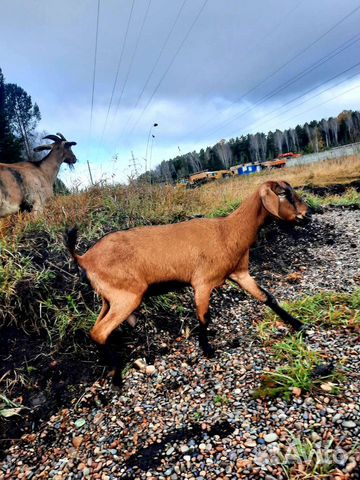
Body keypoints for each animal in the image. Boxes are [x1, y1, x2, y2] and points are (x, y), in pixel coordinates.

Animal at [64, 179, 310, 356]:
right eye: (283, 193)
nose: (307, 214)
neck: (228, 231)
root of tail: (83, 258)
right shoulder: (202, 283)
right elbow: (204, 316)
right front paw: (207, 350)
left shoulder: (240, 274)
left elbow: (267, 297)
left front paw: (298, 325)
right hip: (126, 296)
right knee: (99, 332)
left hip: (109, 299)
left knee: (96, 330)